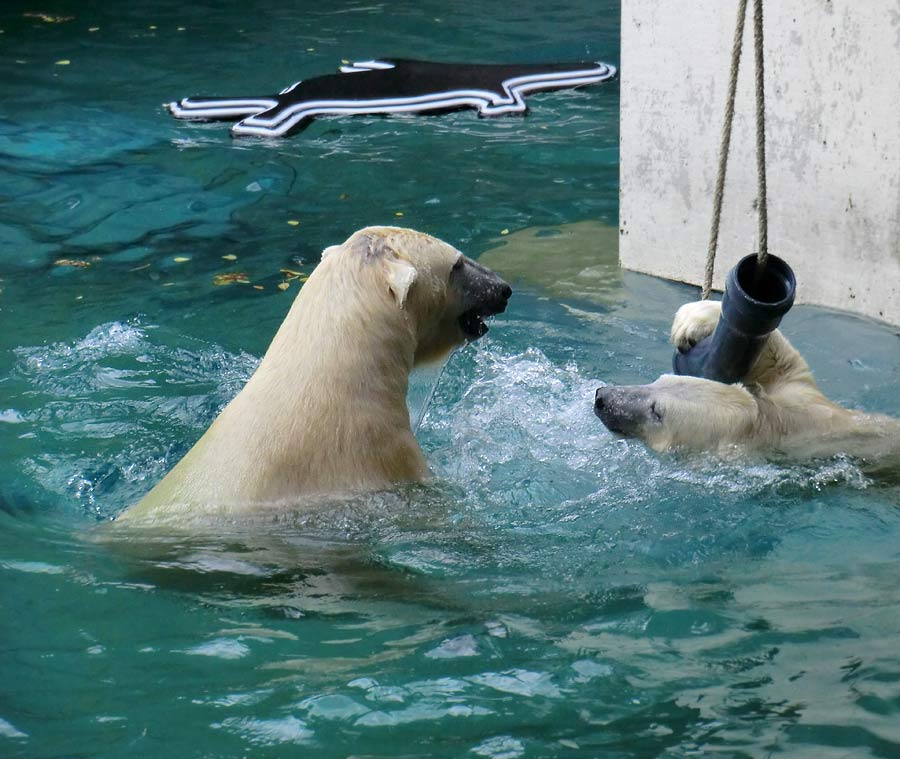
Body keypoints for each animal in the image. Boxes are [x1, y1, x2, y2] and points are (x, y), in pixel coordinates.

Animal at [596, 298, 900, 470]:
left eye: (657, 412)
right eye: (659, 380)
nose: (602, 397)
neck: (778, 424)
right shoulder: (804, 397)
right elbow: (780, 359)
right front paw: (691, 321)